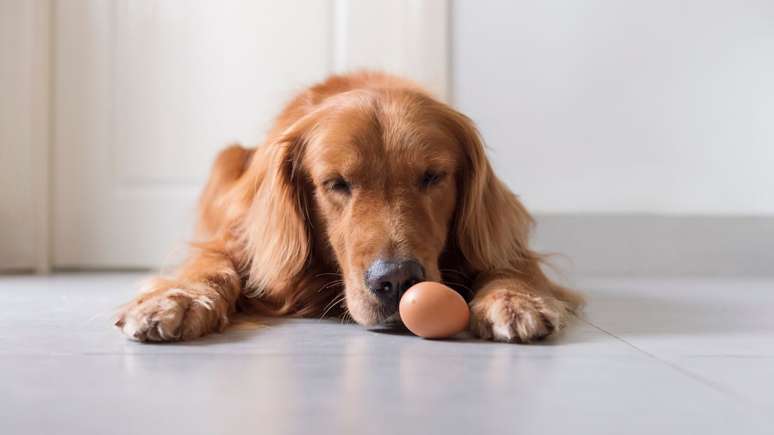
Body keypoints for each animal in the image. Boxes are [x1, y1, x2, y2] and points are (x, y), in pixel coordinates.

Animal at [116, 72, 584, 344]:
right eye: (337, 183)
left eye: (433, 176)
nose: (396, 281)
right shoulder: (239, 236)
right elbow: (211, 262)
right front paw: (177, 298)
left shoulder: (500, 238)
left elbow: (510, 262)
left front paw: (514, 300)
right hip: (226, 157)